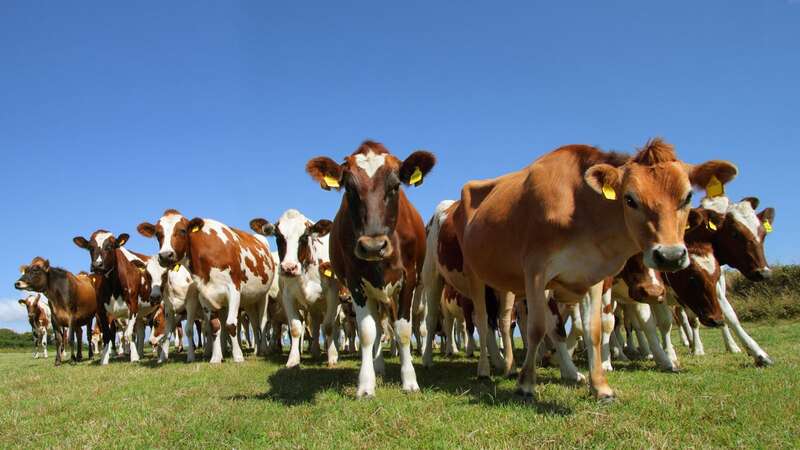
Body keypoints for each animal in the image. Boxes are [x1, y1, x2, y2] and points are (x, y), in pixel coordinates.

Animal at [138, 210, 276, 362]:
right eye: (158, 234)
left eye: (182, 230)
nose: (165, 255)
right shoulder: (205, 296)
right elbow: (214, 327)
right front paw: (215, 357)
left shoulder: (233, 290)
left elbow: (231, 325)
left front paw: (238, 356)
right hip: (248, 301)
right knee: (252, 323)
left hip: (262, 296)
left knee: (261, 322)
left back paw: (262, 349)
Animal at [248, 209, 340, 368]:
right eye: (278, 236)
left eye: (304, 236)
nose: (289, 268)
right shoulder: (287, 297)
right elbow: (295, 328)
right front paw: (293, 359)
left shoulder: (332, 294)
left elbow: (328, 326)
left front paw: (332, 356)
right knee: (315, 325)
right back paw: (315, 351)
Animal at [304, 141, 434, 398]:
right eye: (349, 189)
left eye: (395, 186)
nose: (373, 246)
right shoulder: (356, 284)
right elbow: (367, 332)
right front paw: (366, 384)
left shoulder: (408, 281)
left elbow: (402, 330)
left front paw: (410, 380)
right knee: (377, 327)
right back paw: (378, 365)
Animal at [444, 138, 736, 400]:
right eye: (630, 199)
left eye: (687, 197)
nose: (670, 256)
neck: (581, 209)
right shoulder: (536, 271)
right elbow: (537, 328)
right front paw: (526, 385)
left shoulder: (593, 277)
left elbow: (593, 329)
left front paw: (601, 387)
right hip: (474, 274)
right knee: (483, 322)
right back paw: (485, 369)